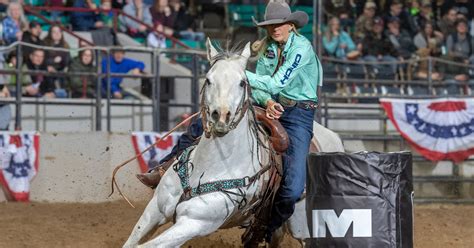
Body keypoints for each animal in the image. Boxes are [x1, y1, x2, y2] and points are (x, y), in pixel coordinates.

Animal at [122, 40, 344, 248]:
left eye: (242, 83)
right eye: (208, 80)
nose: (221, 116)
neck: (207, 168)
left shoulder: (194, 223)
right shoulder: (155, 209)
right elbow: (132, 241)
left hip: (305, 227)